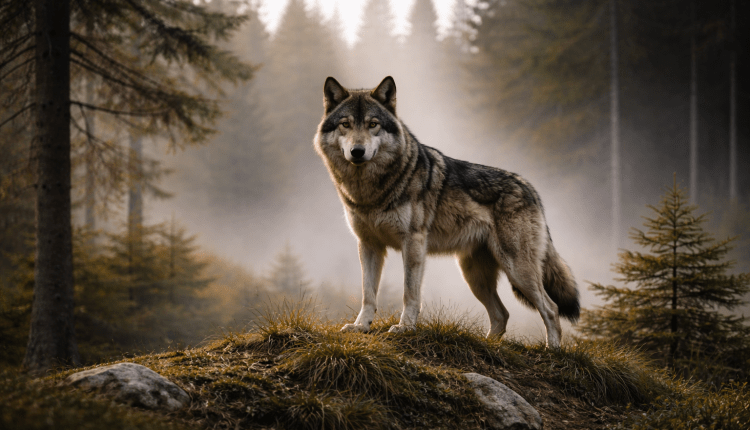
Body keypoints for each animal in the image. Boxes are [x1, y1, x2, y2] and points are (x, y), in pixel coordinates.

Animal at [313, 76, 579, 348]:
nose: (357, 151)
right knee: (502, 314)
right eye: (346, 124)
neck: (371, 191)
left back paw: (552, 350)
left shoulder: (413, 243)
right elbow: (368, 293)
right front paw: (361, 326)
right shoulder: (368, 245)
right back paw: (489, 343)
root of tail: (530, 187)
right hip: (474, 276)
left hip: (516, 269)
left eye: (373, 124)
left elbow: (409, 293)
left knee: (551, 308)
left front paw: (405, 328)